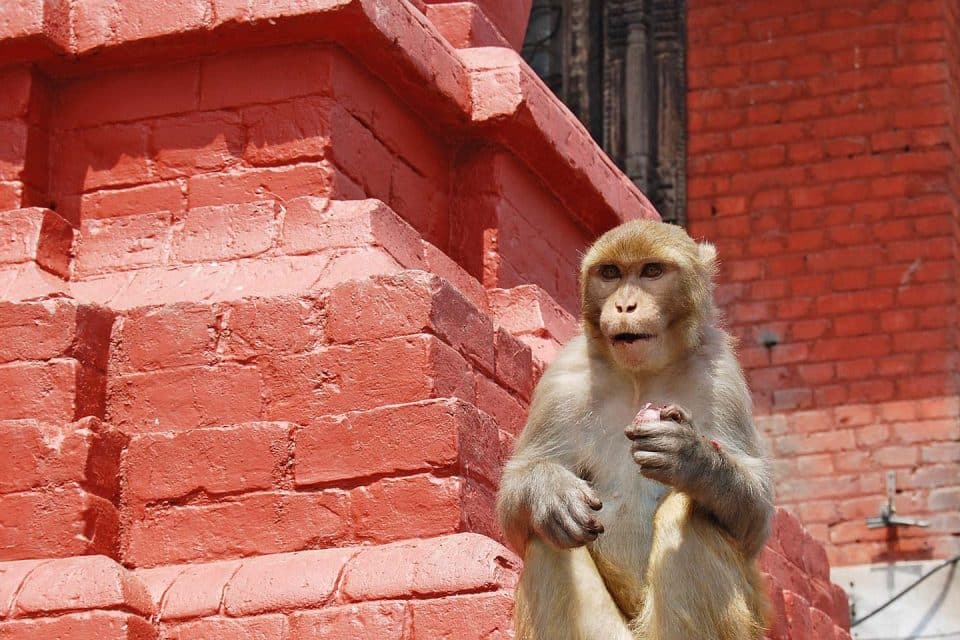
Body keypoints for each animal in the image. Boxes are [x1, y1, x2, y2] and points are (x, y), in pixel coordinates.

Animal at [496, 219, 773, 640]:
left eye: (652, 271)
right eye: (611, 273)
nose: (625, 306)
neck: (641, 375)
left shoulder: (722, 374)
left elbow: (754, 518)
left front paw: (692, 457)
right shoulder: (563, 378)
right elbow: (514, 512)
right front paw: (550, 492)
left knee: (686, 514)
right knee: (547, 538)